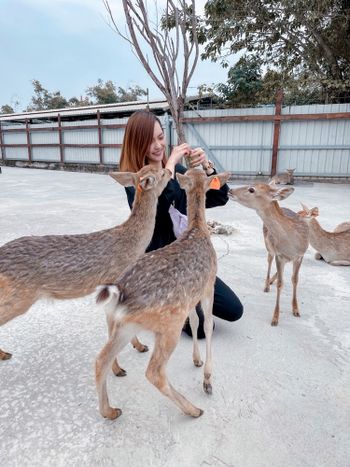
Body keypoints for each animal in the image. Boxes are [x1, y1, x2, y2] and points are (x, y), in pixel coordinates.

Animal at [0, 166, 171, 364]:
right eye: (162, 173)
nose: (169, 170)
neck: (133, 244)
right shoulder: (114, 284)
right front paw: (117, 367)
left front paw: (140, 346)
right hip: (19, 298)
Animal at [94, 168, 230, 420]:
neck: (198, 230)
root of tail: (120, 295)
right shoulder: (208, 285)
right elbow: (207, 325)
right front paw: (207, 378)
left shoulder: (191, 298)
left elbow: (194, 321)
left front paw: (196, 360)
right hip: (168, 326)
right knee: (154, 372)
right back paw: (193, 409)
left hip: (125, 325)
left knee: (101, 360)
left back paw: (110, 410)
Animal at [230, 182, 308, 326]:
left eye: (251, 189)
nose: (230, 190)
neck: (291, 243)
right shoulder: (279, 254)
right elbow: (280, 284)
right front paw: (275, 318)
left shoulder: (300, 255)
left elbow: (295, 280)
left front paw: (296, 310)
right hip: (268, 246)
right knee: (269, 261)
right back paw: (267, 284)